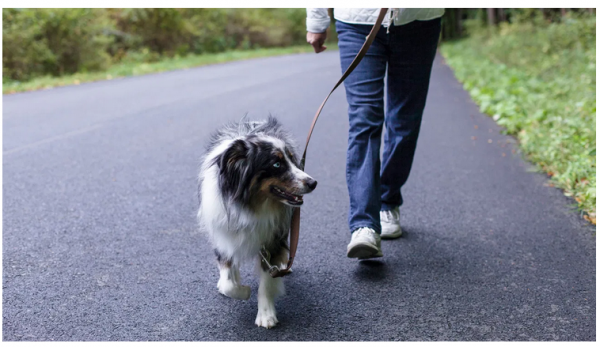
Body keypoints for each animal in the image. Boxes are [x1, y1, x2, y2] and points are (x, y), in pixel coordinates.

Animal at [198, 116, 318, 328]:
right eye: (276, 164)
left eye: (292, 159)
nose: (313, 183)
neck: (251, 206)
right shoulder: (224, 236)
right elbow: (229, 282)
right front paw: (242, 290)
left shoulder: (272, 239)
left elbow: (267, 282)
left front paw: (266, 315)